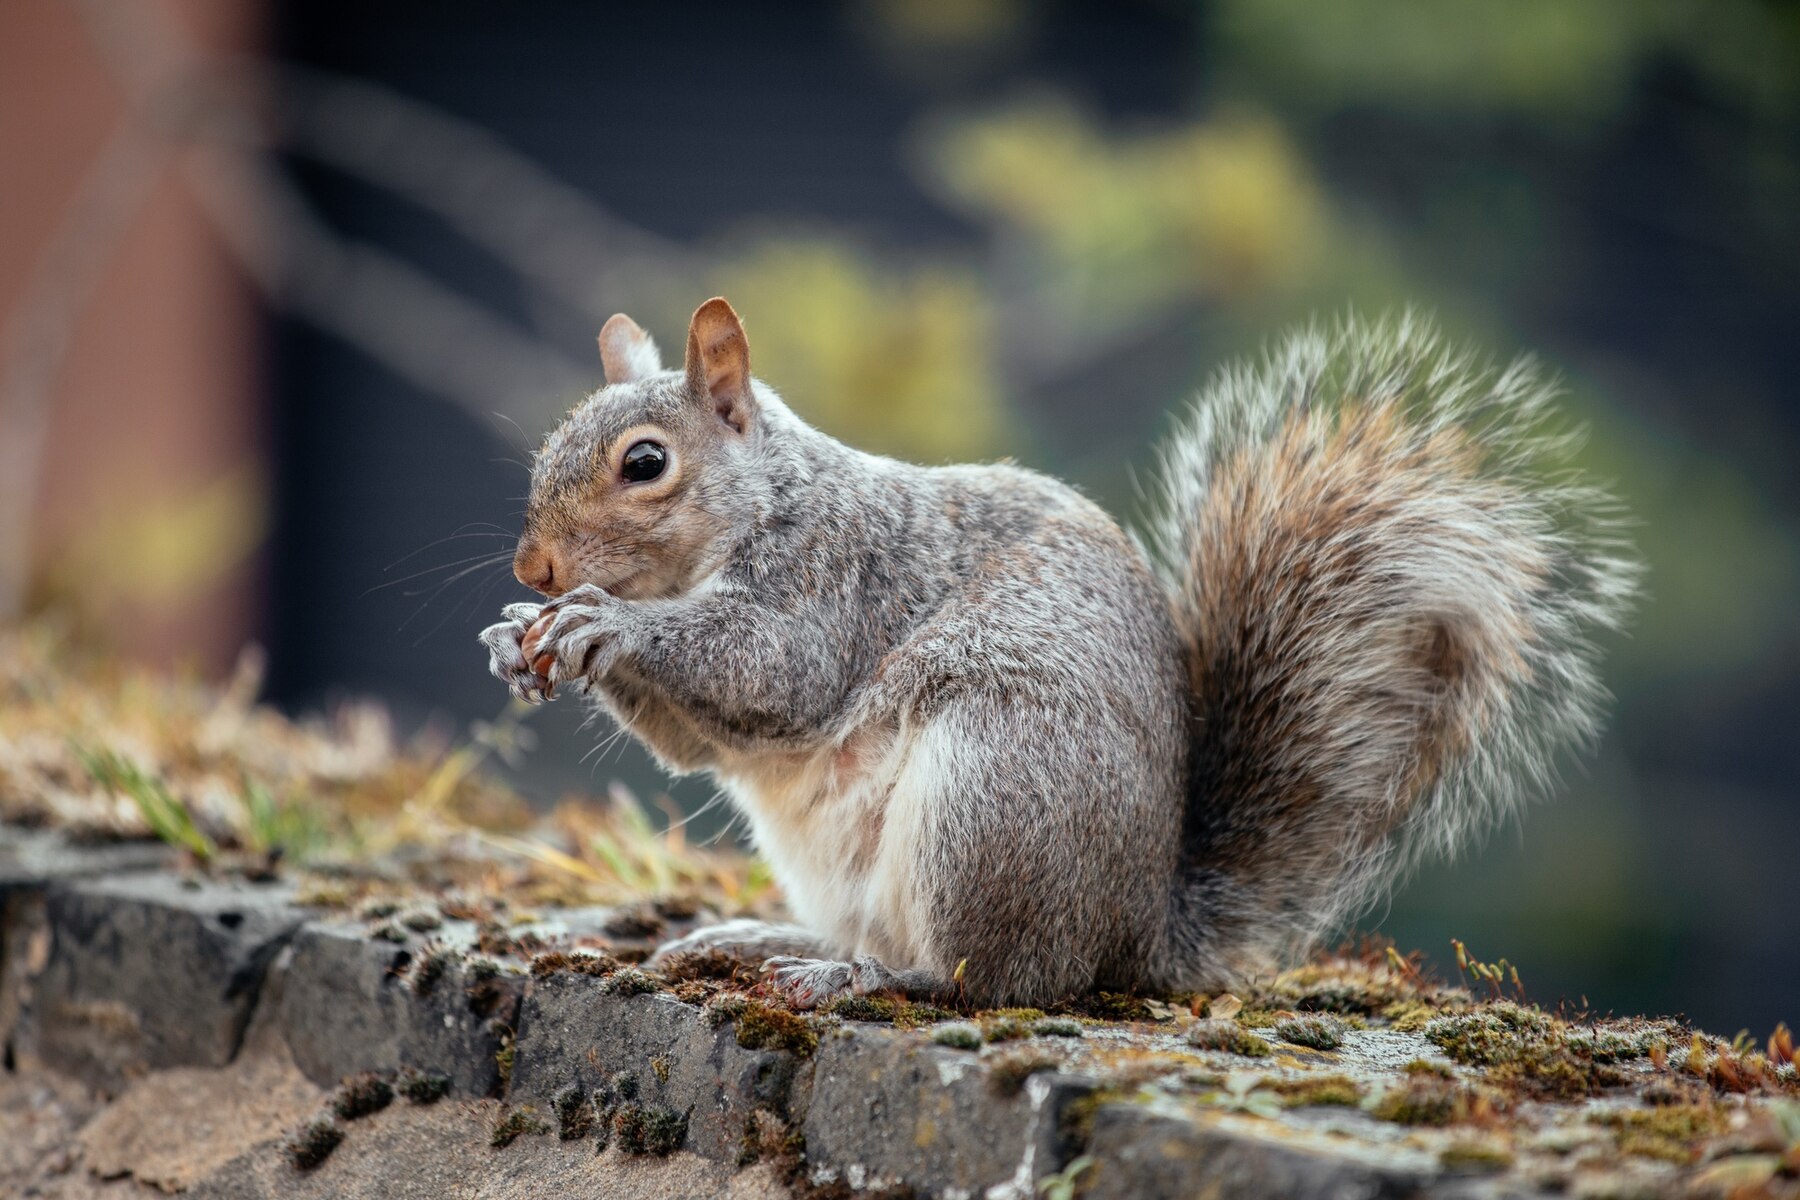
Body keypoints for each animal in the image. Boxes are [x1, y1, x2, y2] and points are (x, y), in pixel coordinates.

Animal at [482, 295, 1648, 1007]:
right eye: (548, 449)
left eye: (645, 464)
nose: (535, 568)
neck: (762, 505)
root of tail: (1136, 934)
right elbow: (693, 743)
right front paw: (512, 640)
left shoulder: (834, 582)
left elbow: (768, 669)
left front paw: (603, 623)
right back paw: (773, 944)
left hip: (994, 794)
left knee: (986, 978)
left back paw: (869, 981)